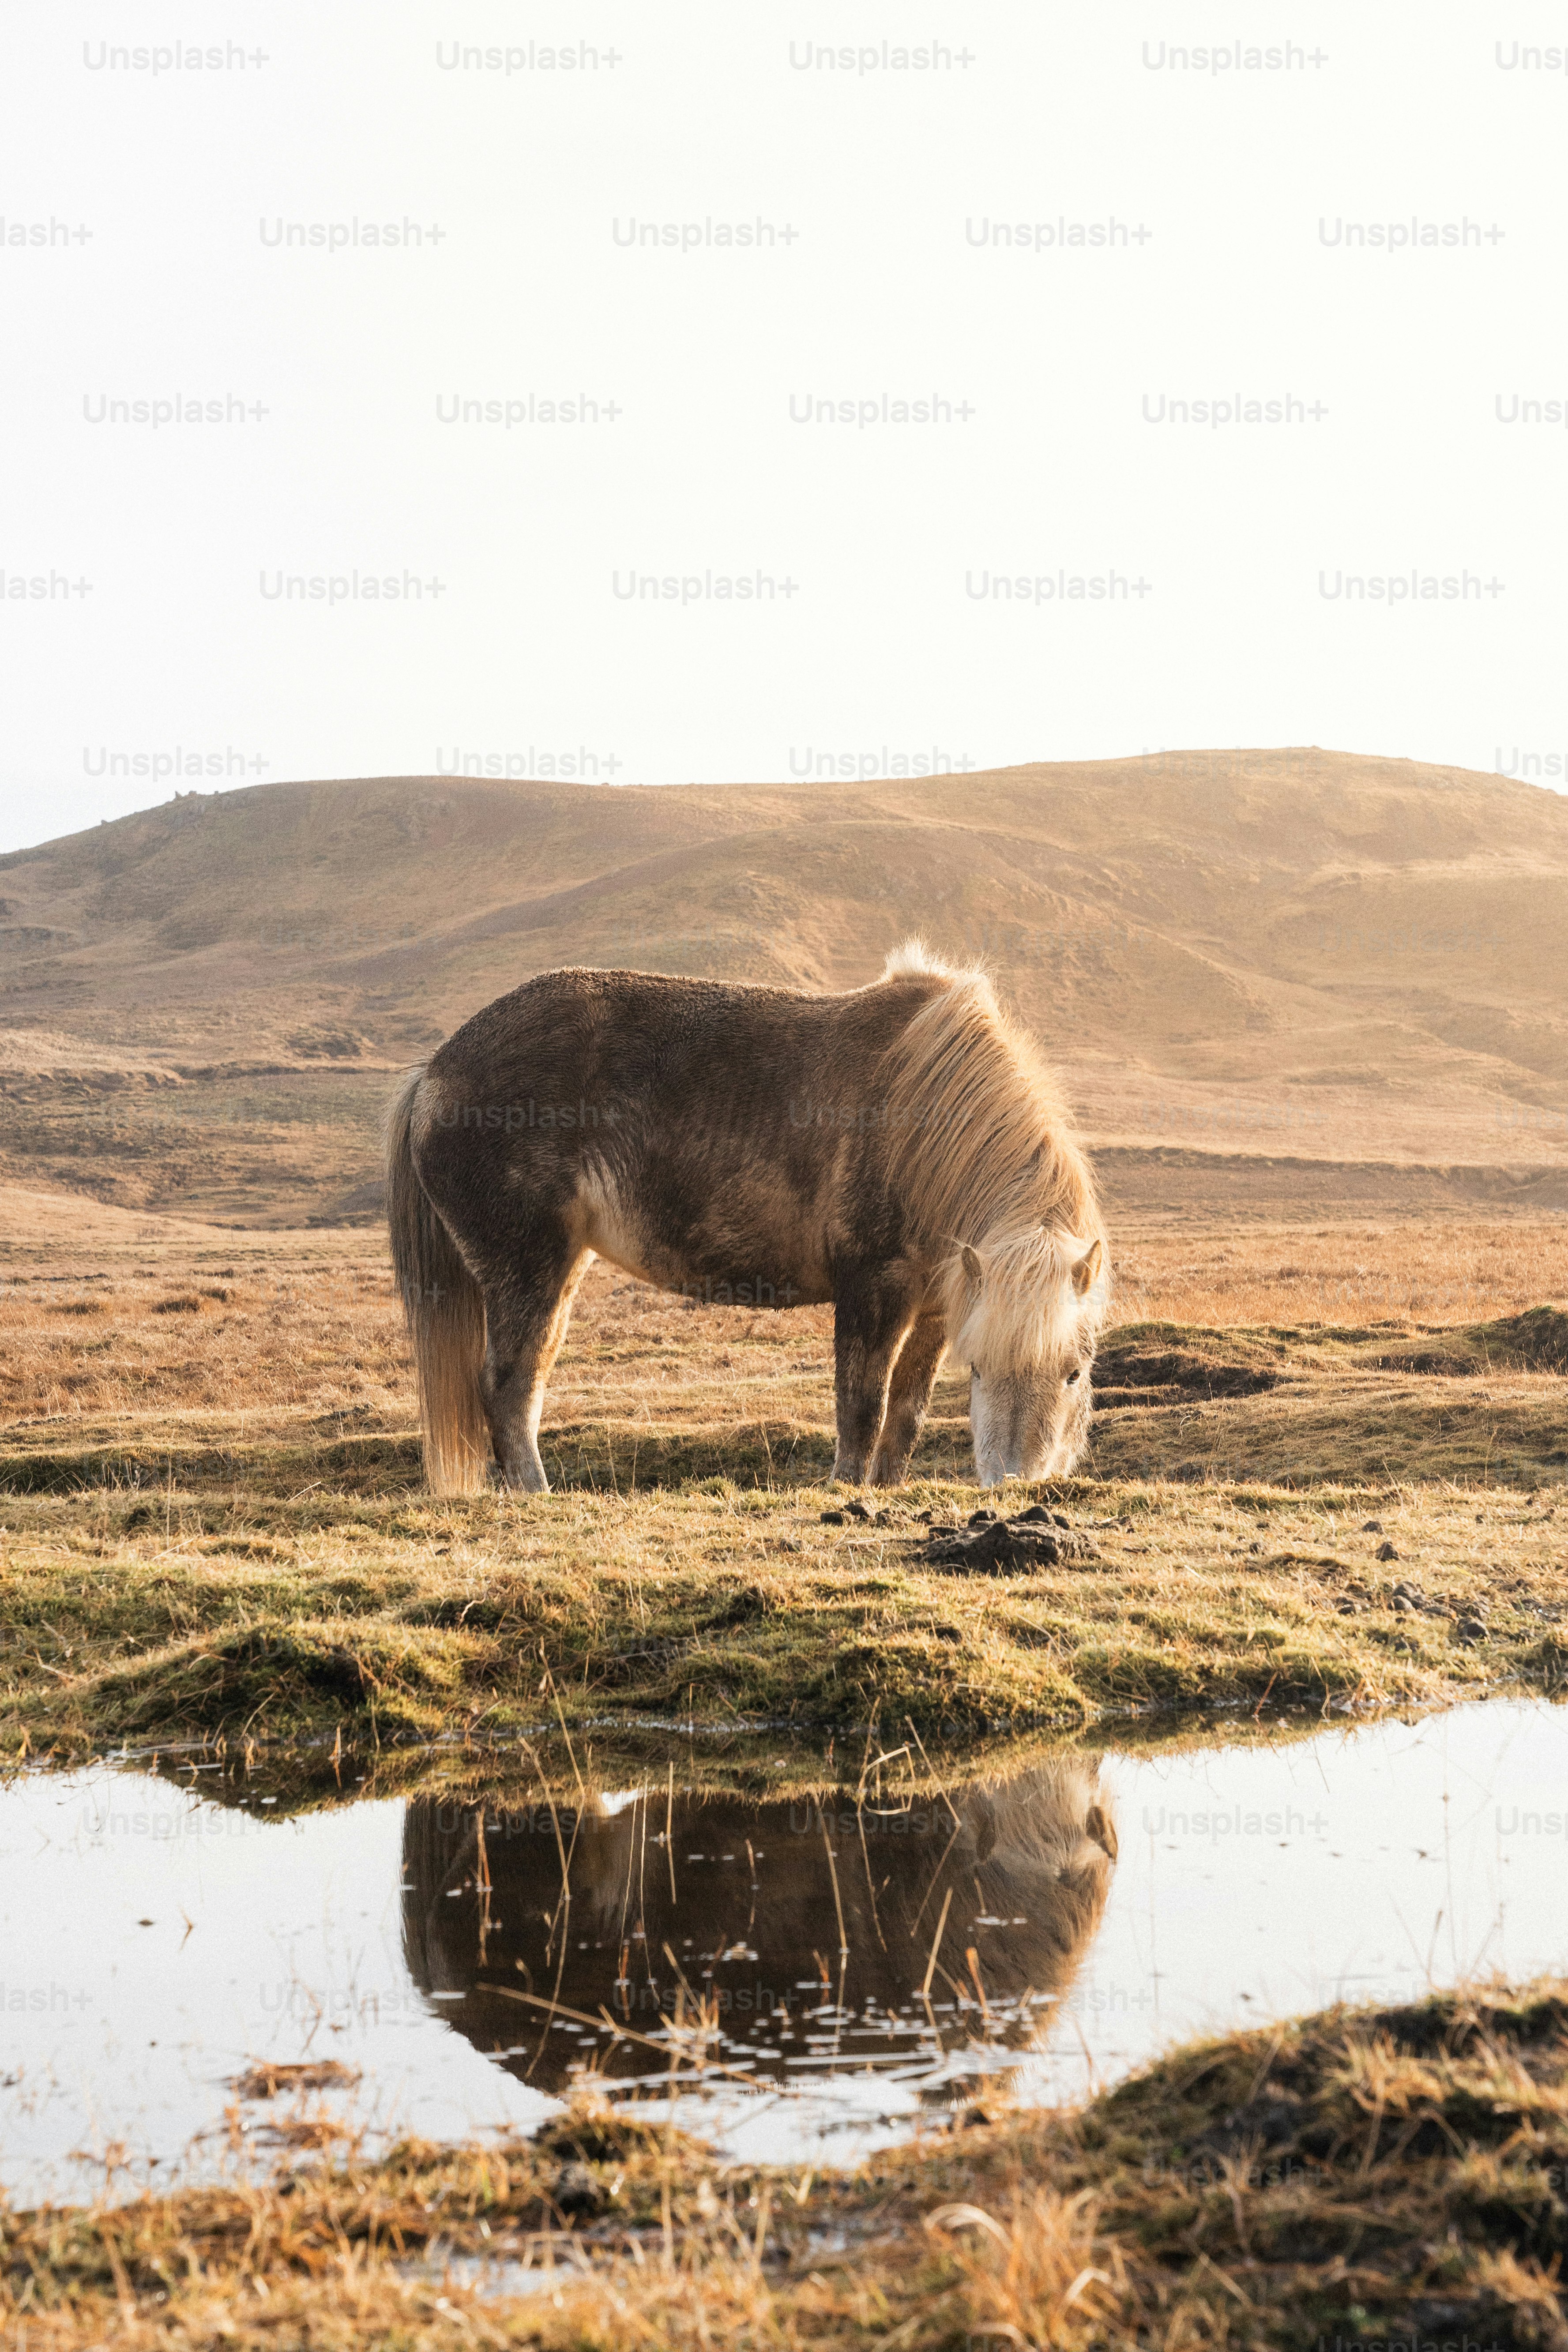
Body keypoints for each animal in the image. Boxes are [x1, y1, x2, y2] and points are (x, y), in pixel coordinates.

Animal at [385, 942, 1109, 1494]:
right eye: (982, 1370)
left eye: (1074, 1371)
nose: (1015, 1484)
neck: (921, 1118)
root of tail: (435, 1074)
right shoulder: (871, 1288)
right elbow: (862, 1405)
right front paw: (846, 1488)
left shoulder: (937, 1305)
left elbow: (906, 1413)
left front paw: (887, 1488)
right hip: (528, 1267)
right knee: (510, 1383)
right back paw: (536, 1493)